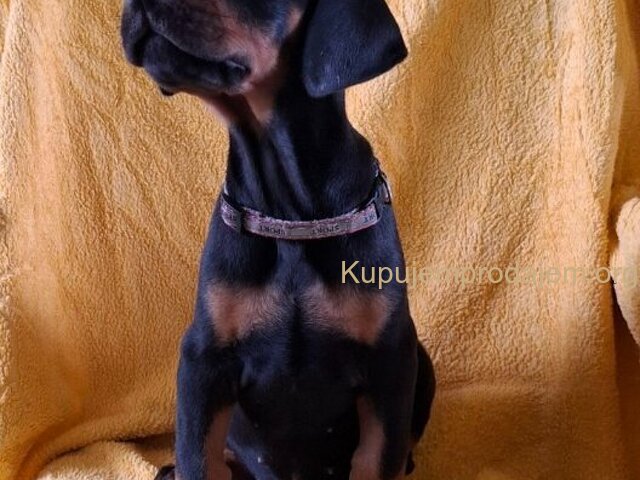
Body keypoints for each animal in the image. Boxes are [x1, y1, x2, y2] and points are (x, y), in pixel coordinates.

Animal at [120, 0, 436, 478]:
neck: (290, 214)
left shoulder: (391, 358)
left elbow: (376, 458)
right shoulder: (204, 357)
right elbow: (198, 457)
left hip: (422, 361)